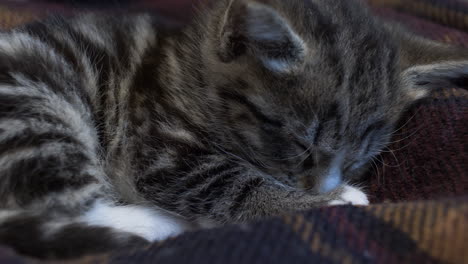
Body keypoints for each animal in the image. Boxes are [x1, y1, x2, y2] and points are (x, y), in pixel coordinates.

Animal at [0, 0, 468, 260]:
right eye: (302, 146)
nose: (324, 186)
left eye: (358, 160)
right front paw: (332, 201)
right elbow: (230, 184)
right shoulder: (156, 144)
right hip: (38, 103)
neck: (183, 70)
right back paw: (157, 225)